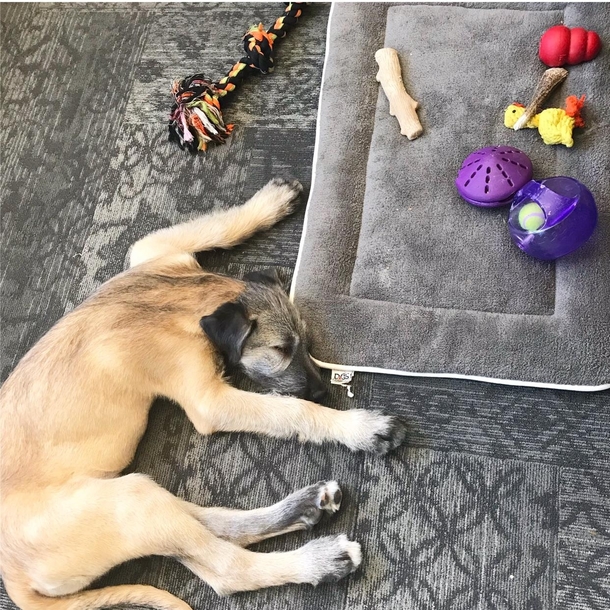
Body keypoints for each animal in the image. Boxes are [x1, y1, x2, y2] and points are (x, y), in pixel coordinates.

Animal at [2, 178, 406, 604]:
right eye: (281, 350)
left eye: (306, 340)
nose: (321, 392)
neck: (189, 301)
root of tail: (14, 578)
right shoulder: (209, 401)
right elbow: (291, 410)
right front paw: (360, 427)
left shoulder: (153, 248)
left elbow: (214, 226)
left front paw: (273, 200)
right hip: (127, 504)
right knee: (227, 569)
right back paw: (320, 560)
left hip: (131, 499)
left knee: (213, 522)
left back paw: (306, 506)